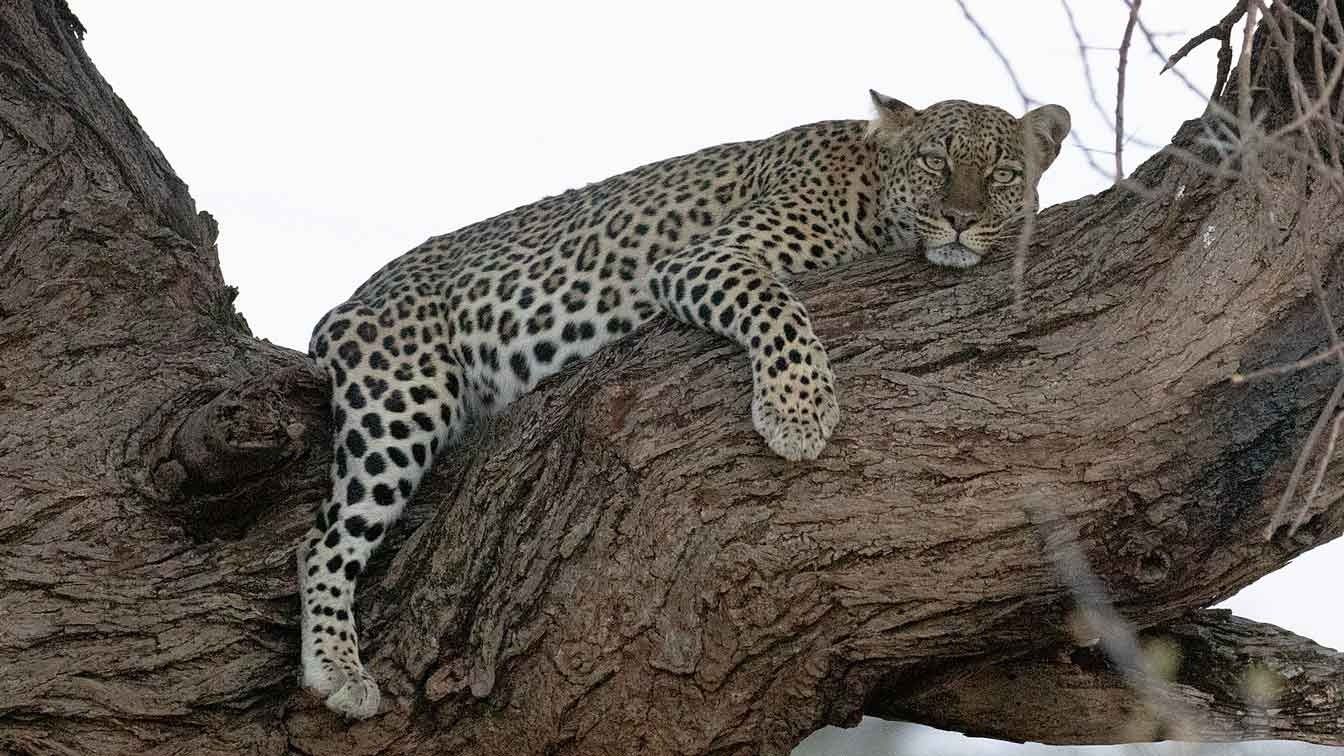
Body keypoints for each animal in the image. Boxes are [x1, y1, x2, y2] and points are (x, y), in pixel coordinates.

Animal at [298, 91, 1071, 719]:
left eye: (1002, 174)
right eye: (937, 162)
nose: (960, 220)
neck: (874, 197)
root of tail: (352, 298)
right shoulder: (707, 258)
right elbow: (779, 306)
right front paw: (798, 412)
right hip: (403, 394)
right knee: (323, 542)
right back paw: (337, 667)